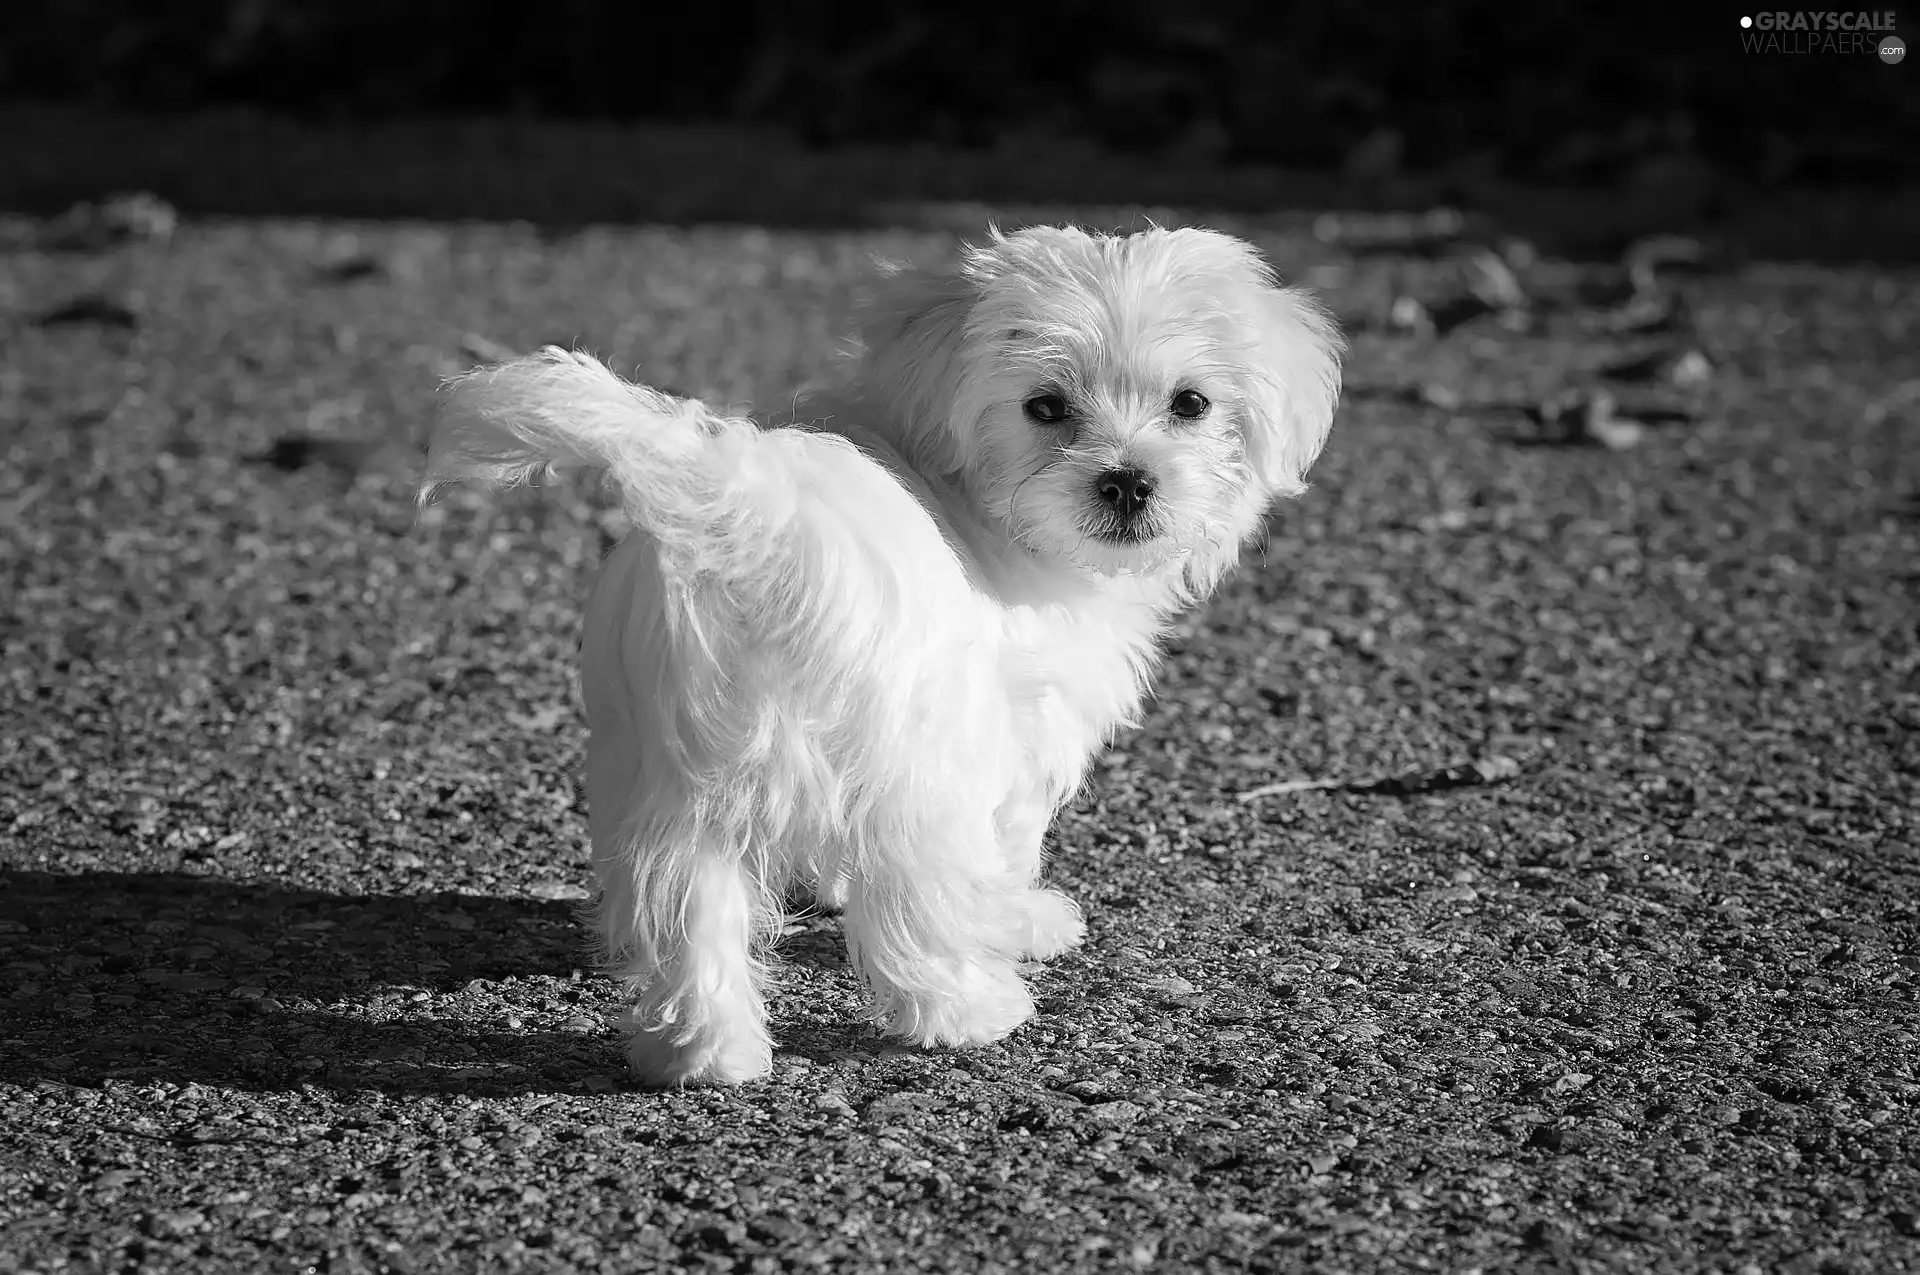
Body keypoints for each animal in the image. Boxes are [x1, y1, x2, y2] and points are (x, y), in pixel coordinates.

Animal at [422, 223, 1351, 1082]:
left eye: (1190, 403)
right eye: (1045, 406)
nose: (1127, 481)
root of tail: (754, 518)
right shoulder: (1015, 728)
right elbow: (1005, 843)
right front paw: (1022, 921)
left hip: (671, 773)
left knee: (685, 902)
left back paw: (703, 1052)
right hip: (912, 759)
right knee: (913, 899)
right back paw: (970, 1010)